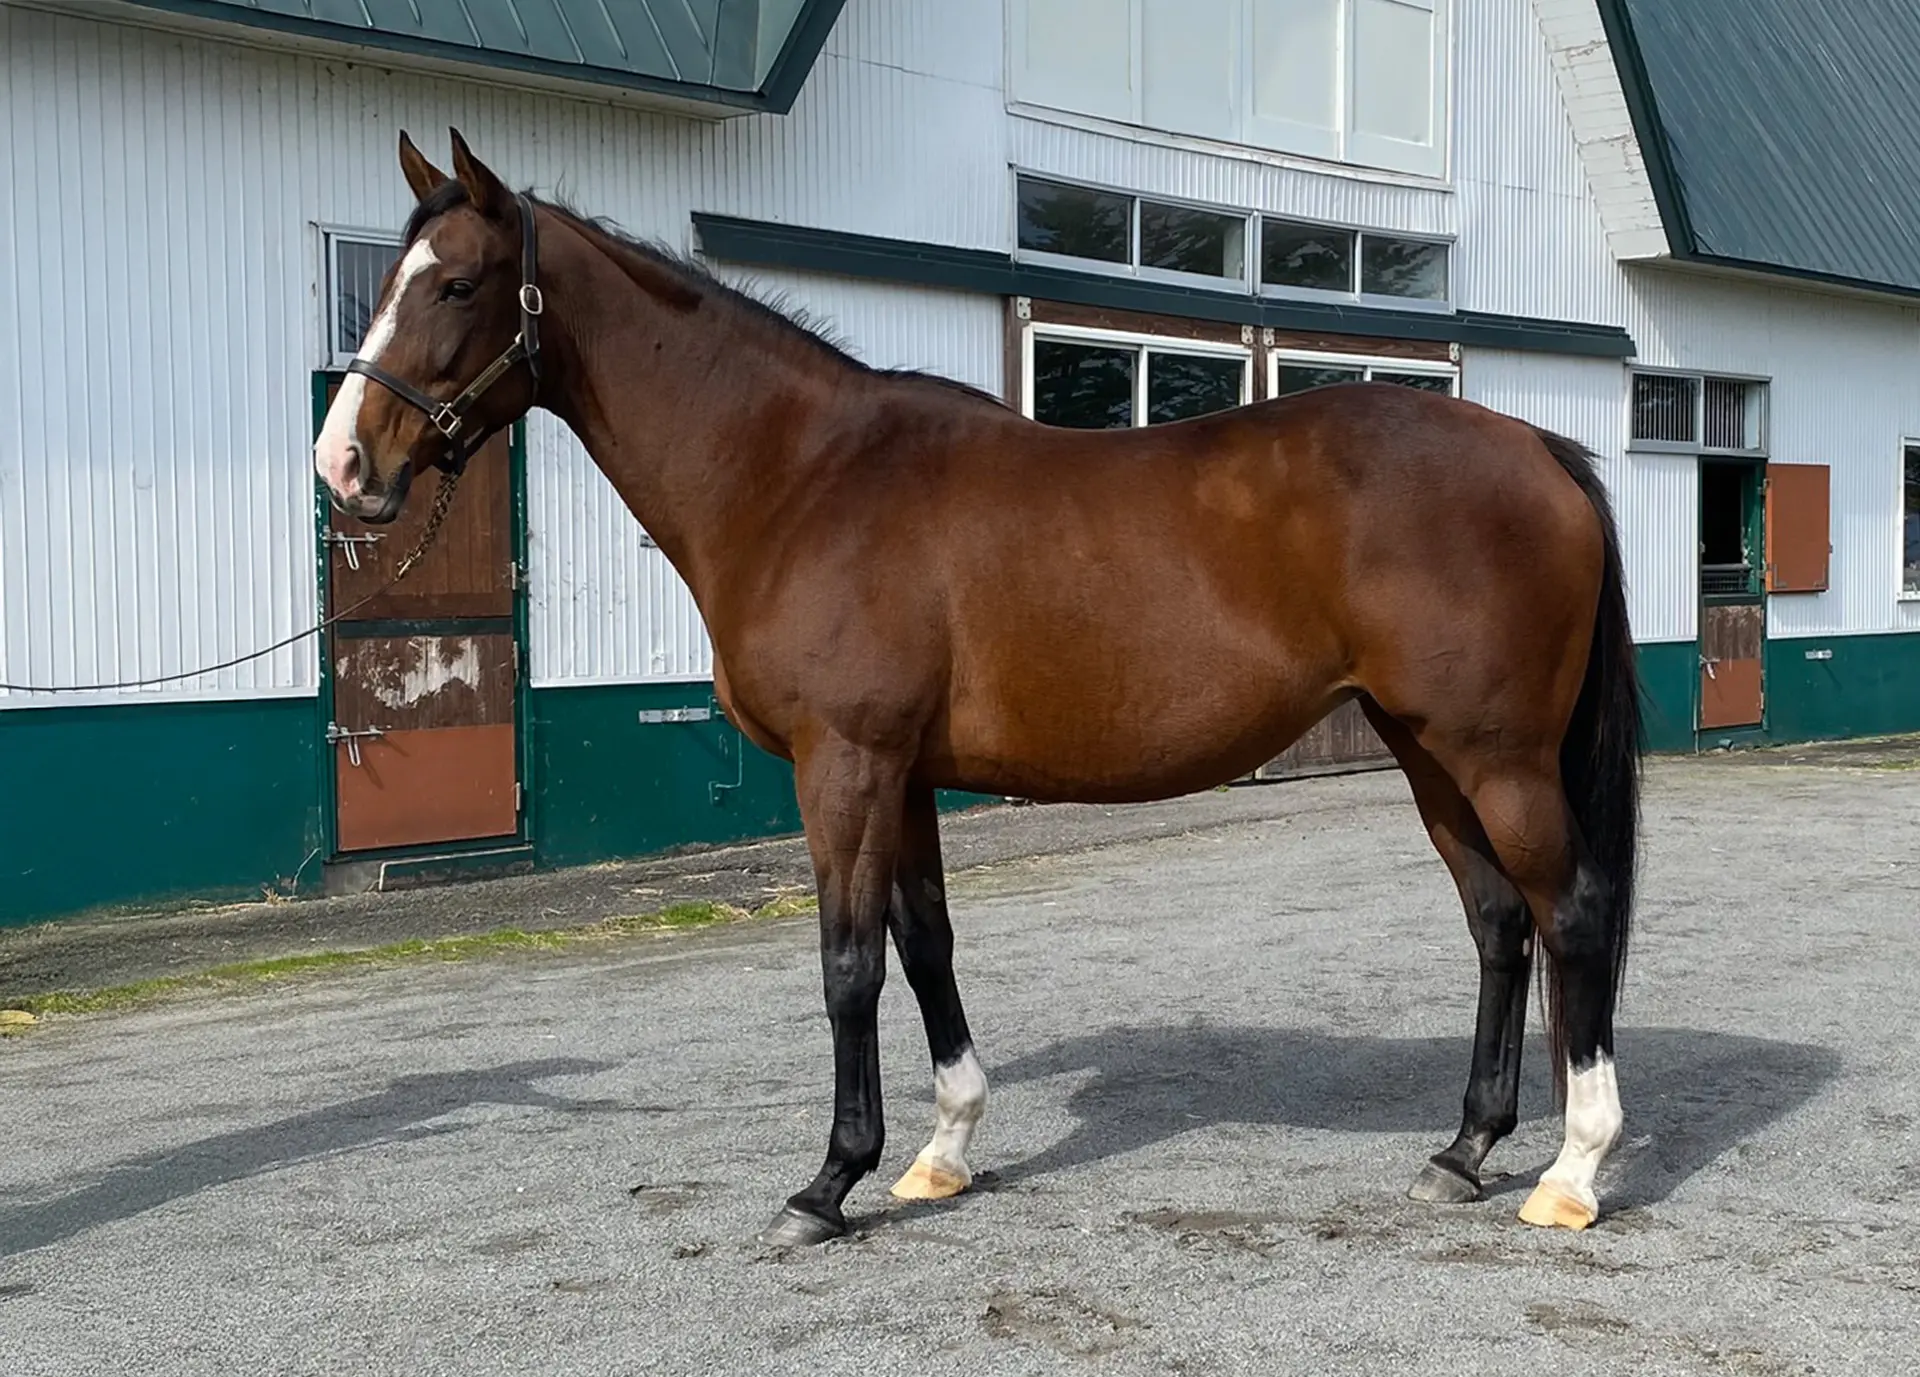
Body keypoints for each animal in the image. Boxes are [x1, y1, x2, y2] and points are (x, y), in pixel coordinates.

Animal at [315, 128, 1645, 1249]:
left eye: (454, 285)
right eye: (385, 280)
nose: (345, 464)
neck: (802, 478)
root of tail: (1541, 450)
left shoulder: (844, 765)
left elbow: (848, 964)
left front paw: (826, 1184)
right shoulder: (900, 777)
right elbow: (925, 944)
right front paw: (940, 1152)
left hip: (1495, 756)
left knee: (1571, 912)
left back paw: (1573, 1173)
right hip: (1427, 751)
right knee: (1500, 922)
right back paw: (1464, 1151)